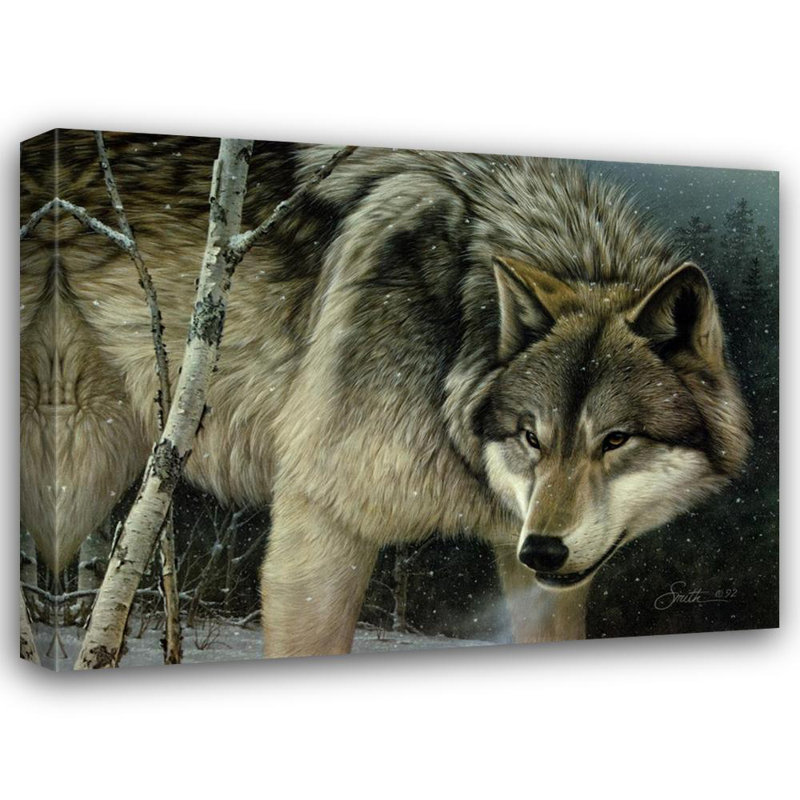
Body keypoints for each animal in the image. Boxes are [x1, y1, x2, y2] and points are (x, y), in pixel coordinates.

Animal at [20, 131, 749, 657]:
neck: (455, 333)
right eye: (531, 436)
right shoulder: (322, 517)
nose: (544, 549)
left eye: (616, 439)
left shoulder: (538, 564)